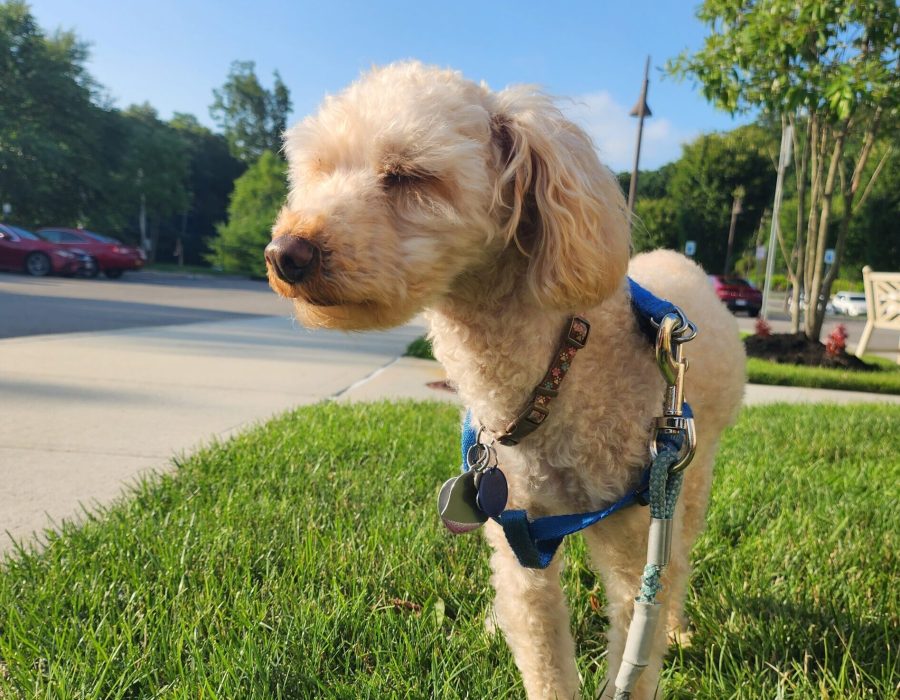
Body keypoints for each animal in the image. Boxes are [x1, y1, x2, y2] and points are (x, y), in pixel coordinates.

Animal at [266, 63, 744, 696]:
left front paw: (650, 644)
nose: (283, 254)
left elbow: (634, 637)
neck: (555, 376)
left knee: (681, 555)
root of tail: (674, 256)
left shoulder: (635, 526)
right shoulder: (517, 530)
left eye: (409, 174)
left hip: (690, 473)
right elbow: (540, 646)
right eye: (317, 171)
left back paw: (677, 629)